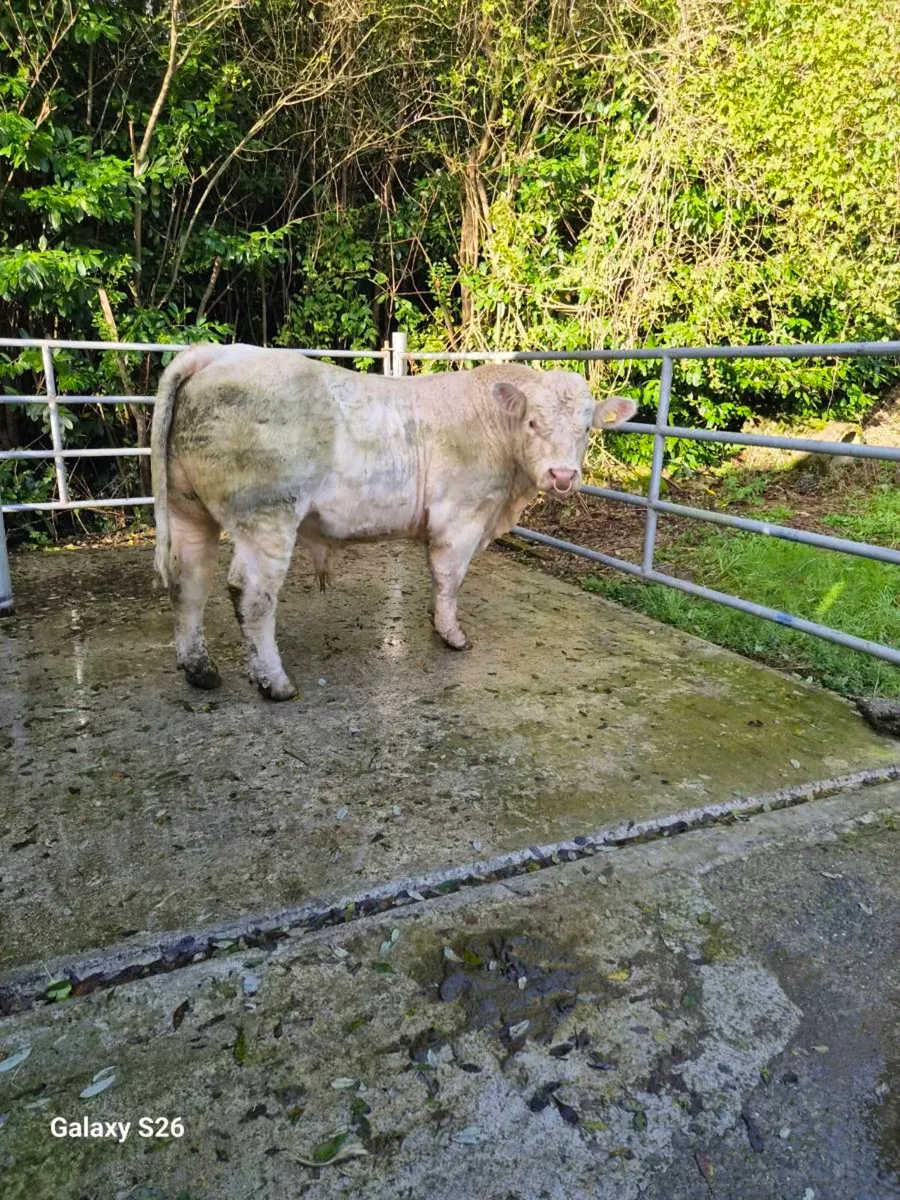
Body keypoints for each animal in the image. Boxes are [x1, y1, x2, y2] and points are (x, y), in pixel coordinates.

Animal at [150, 344, 636, 700]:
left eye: (586, 429)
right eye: (532, 422)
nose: (563, 476)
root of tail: (218, 353)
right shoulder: (460, 518)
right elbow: (448, 578)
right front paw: (451, 634)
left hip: (188, 510)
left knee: (189, 582)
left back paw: (200, 671)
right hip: (267, 516)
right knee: (251, 594)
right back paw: (275, 682)